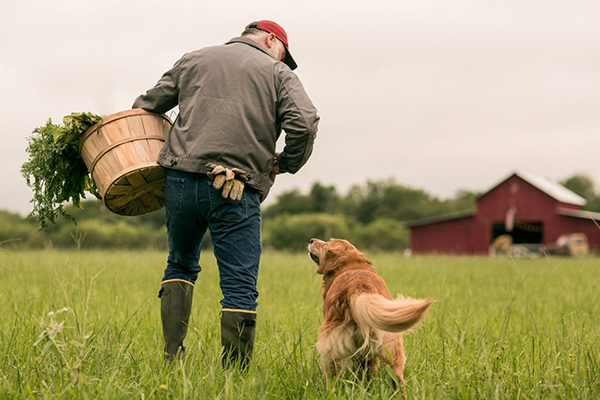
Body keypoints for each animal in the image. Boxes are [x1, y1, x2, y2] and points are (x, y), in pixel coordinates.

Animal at [310, 239, 432, 390]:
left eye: (327, 243)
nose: (311, 240)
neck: (350, 265)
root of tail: (360, 284)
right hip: (391, 345)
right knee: (397, 378)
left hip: (331, 349)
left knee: (333, 377)